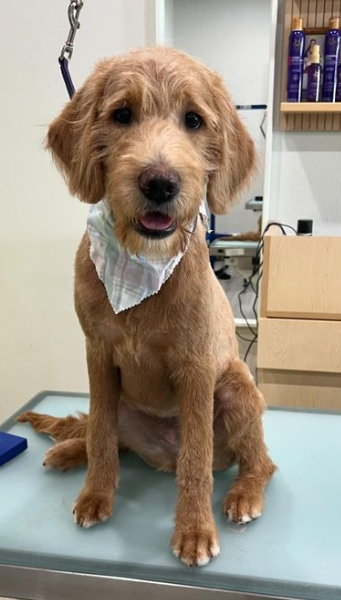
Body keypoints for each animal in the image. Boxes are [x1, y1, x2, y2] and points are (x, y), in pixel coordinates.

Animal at [17, 47, 274, 568]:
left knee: (260, 461)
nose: (159, 183)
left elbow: (196, 459)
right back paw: (71, 450)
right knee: (104, 434)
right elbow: (99, 434)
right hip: (121, 402)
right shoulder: (97, 354)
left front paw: (194, 529)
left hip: (237, 386)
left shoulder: (196, 368)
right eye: (121, 115)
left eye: (194, 119)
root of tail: (160, 455)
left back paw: (244, 494)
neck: (142, 270)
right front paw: (96, 493)